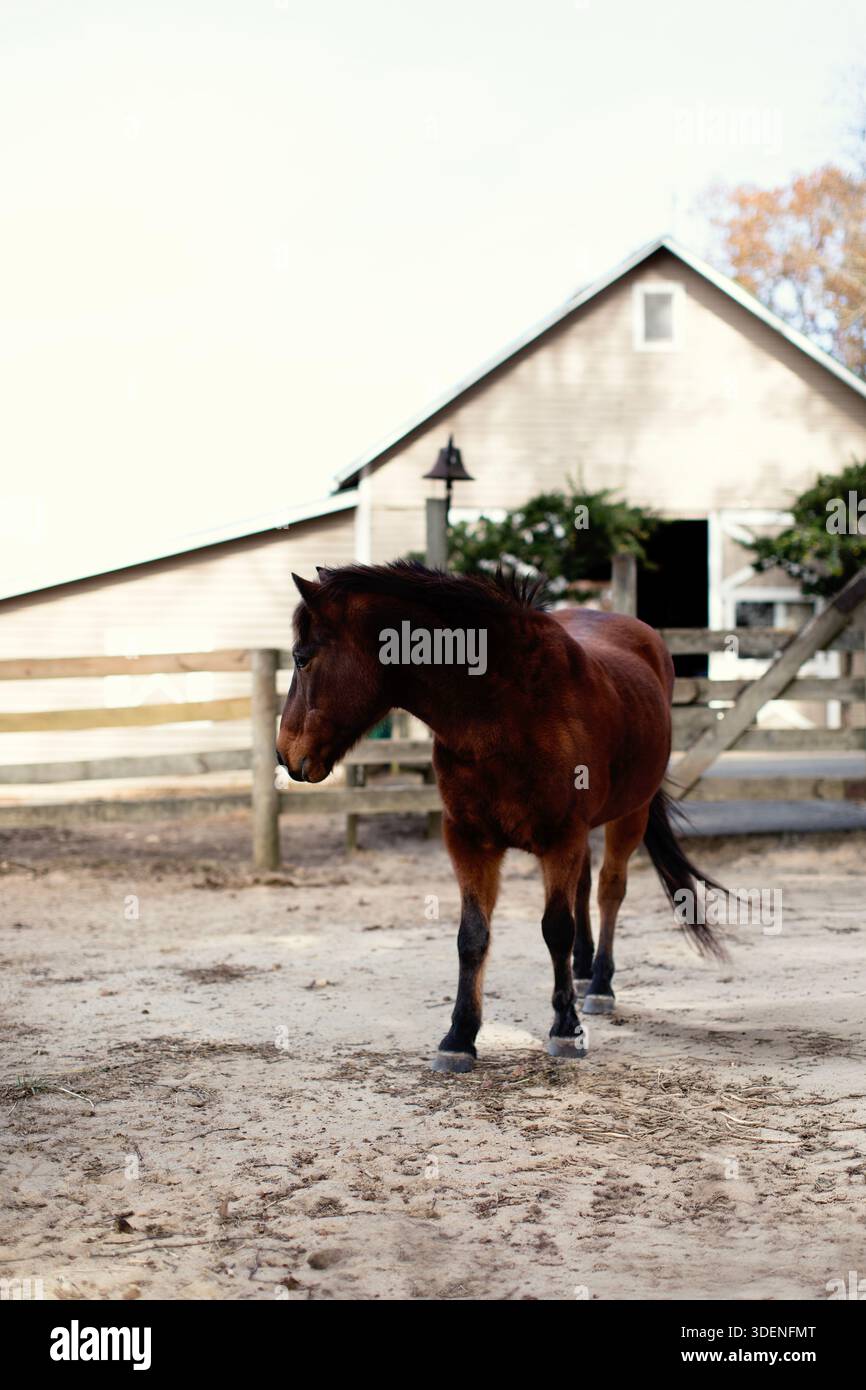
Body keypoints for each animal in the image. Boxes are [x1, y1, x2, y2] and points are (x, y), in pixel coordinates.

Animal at [276, 560, 723, 1072]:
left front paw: (566, 1028)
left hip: (631, 813)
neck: (508, 709)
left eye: (302, 658)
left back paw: (600, 984)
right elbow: (472, 936)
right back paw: (582, 970)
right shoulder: (469, 839)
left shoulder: (561, 838)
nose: (284, 754)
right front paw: (459, 1036)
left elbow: (556, 929)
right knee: (585, 886)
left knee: (610, 889)